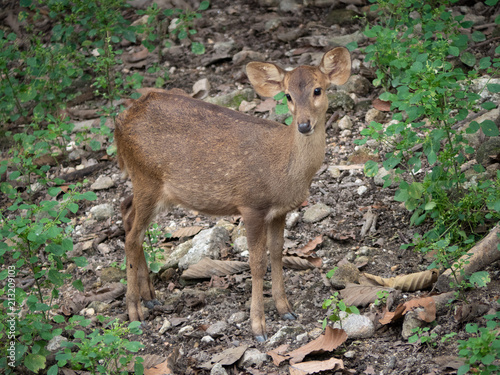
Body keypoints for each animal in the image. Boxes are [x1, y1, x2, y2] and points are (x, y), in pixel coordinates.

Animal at [115, 46, 352, 340]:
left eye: (317, 90)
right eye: (288, 95)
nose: (304, 125)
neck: (285, 170)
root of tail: (119, 122)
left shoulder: (280, 211)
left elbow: (277, 253)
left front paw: (286, 309)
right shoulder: (251, 205)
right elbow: (257, 263)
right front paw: (258, 326)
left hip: (153, 188)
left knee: (127, 212)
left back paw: (150, 296)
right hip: (146, 178)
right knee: (132, 237)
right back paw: (135, 310)